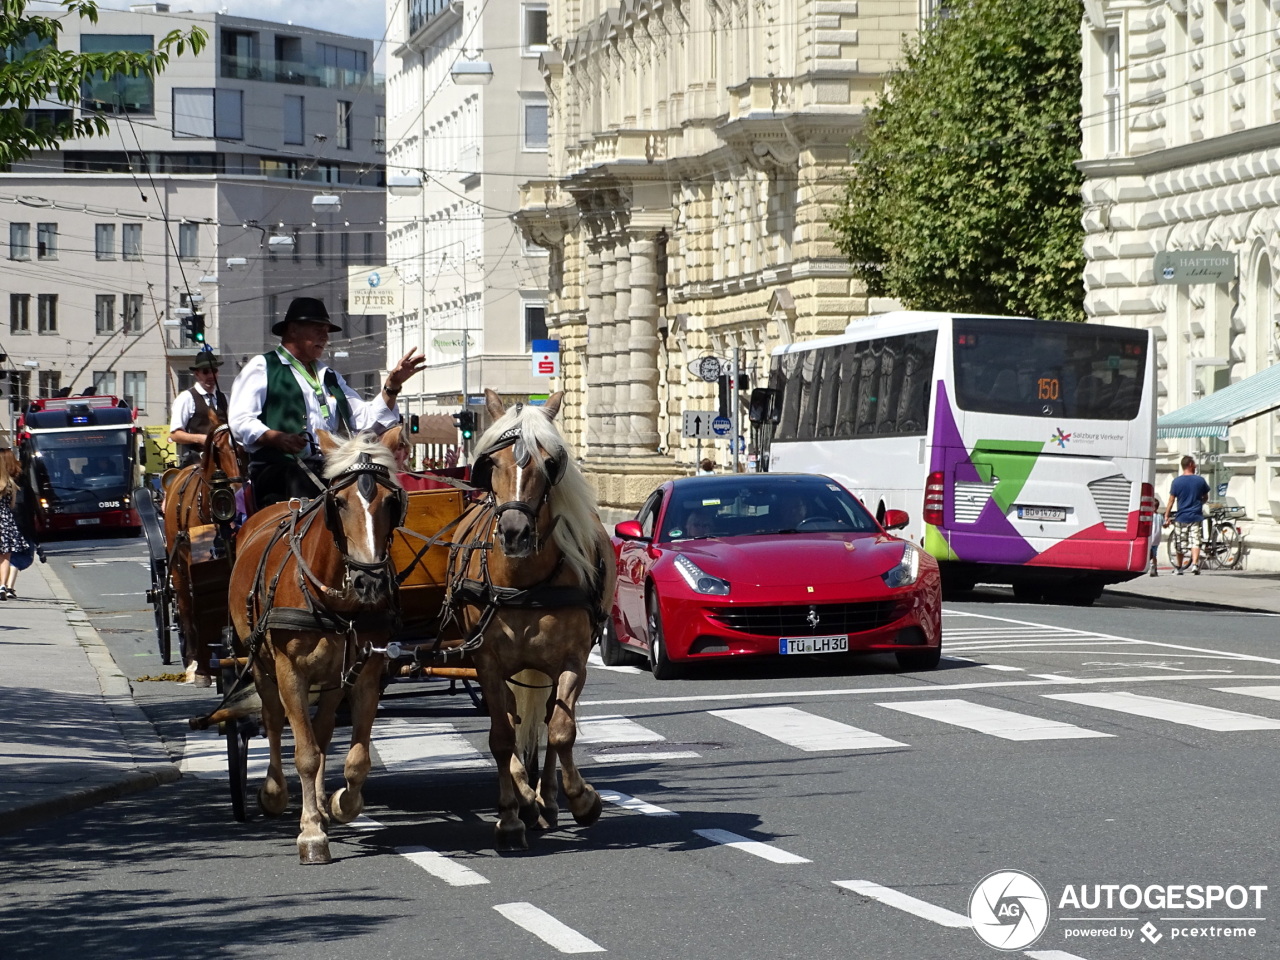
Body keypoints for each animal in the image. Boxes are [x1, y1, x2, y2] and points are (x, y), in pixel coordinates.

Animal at [448, 386, 616, 855]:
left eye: (550, 463)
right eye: (491, 464)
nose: (514, 533)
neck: (523, 583)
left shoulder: (572, 661)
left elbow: (560, 730)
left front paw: (582, 799)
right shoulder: (487, 663)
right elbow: (501, 737)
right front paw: (509, 816)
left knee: (544, 722)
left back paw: (547, 800)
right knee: (513, 722)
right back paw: (525, 797)